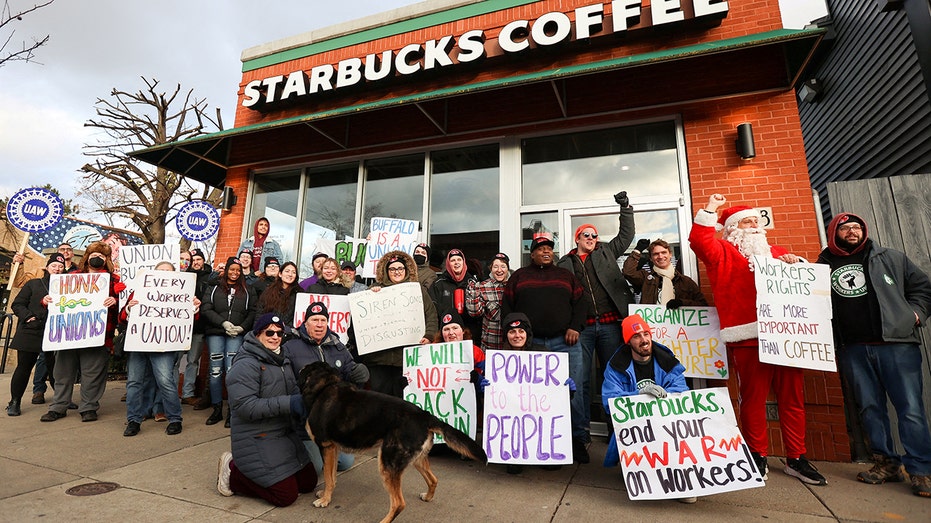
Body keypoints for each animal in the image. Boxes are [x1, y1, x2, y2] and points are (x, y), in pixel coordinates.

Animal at [300, 362, 488, 520]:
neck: (325, 386)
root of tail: (425, 416)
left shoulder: (326, 446)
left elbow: (328, 476)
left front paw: (324, 500)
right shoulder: (333, 448)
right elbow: (331, 475)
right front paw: (326, 495)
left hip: (387, 463)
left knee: (399, 503)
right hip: (416, 459)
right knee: (433, 479)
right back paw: (427, 497)